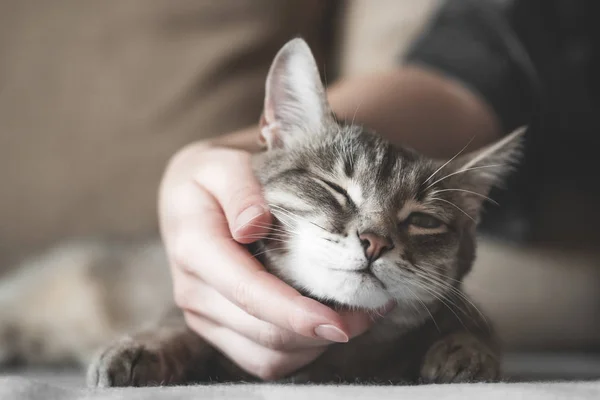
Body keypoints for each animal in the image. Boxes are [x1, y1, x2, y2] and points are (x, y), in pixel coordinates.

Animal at [0, 38, 524, 388]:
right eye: (335, 188)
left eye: (423, 220)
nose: (375, 241)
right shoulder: (184, 311)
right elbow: (177, 325)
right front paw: (142, 347)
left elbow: (480, 328)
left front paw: (465, 350)